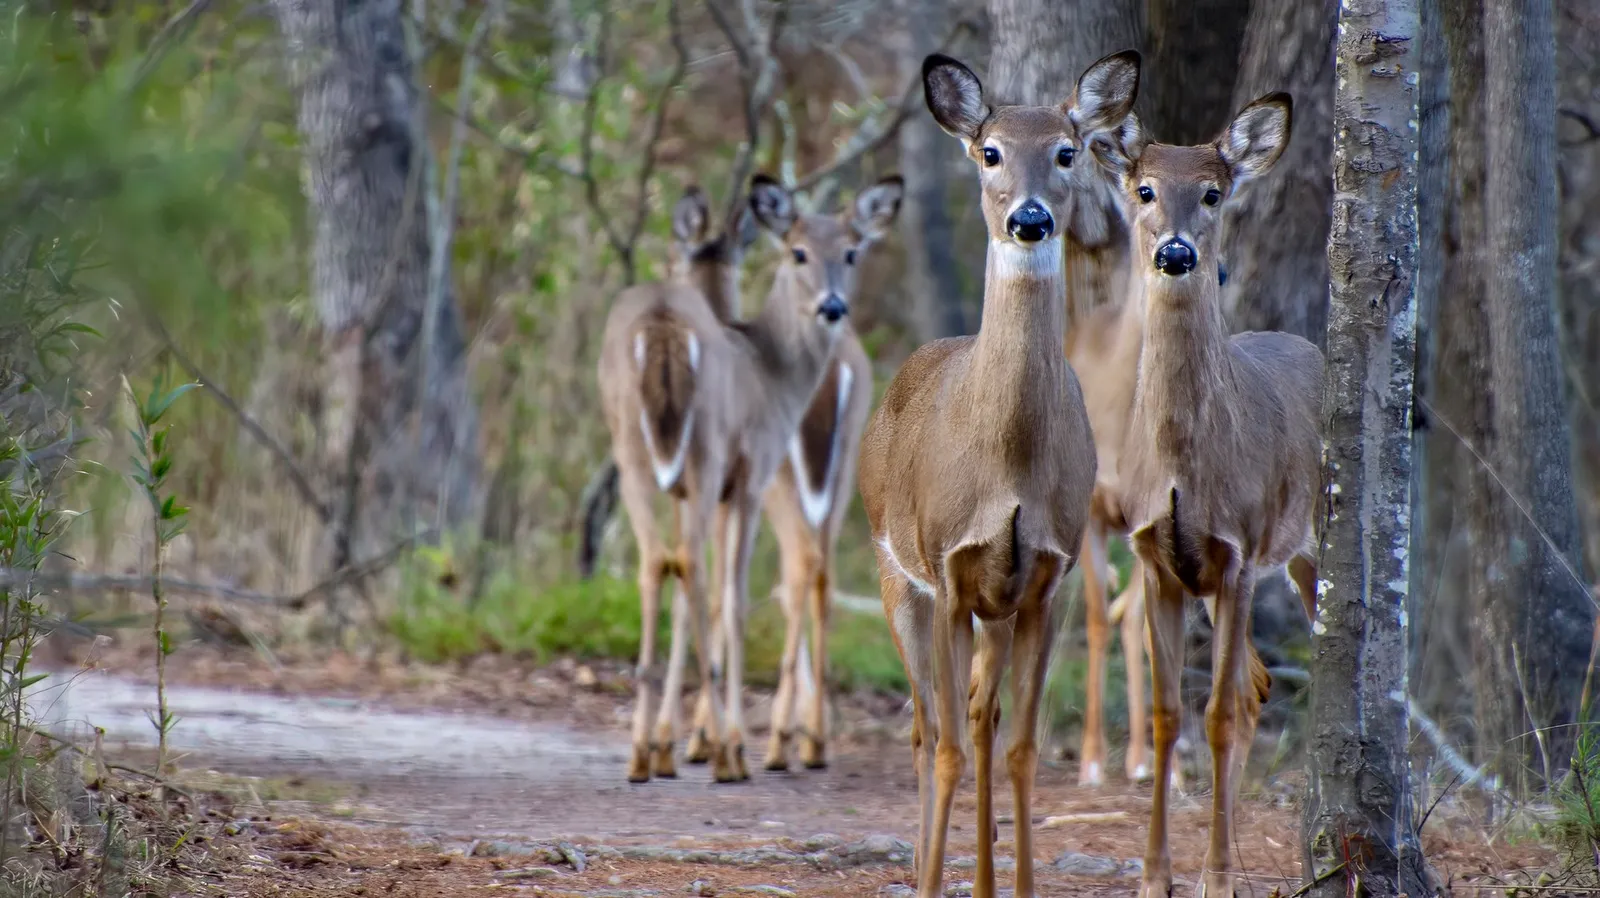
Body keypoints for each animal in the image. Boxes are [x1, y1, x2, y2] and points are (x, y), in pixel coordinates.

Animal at [597, 172, 894, 784]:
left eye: (851, 252)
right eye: (797, 251)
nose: (833, 306)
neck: (771, 365)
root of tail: (662, 321)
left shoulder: (724, 482)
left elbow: (711, 596)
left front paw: (685, 740)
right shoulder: (737, 480)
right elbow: (719, 595)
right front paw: (689, 740)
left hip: (681, 456)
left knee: (684, 567)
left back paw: (701, 750)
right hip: (714, 462)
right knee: (789, 566)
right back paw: (778, 744)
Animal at [858, 50, 1140, 898]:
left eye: (1067, 151)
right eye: (989, 152)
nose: (1030, 219)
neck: (1008, 466)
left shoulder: (1043, 577)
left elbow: (1019, 748)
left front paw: (1011, 885)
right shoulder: (949, 570)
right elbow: (949, 744)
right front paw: (928, 881)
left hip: (999, 609)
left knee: (980, 717)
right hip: (896, 577)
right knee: (926, 730)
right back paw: (922, 863)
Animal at [1108, 93, 1322, 898]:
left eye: (1211, 193)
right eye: (1144, 190)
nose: (1176, 253)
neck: (1182, 466)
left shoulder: (1237, 552)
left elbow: (1219, 714)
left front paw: (1220, 877)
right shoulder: (1156, 558)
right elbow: (1171, 713)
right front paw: (1154, 875)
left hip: (1307, 546)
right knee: (1259, 682)